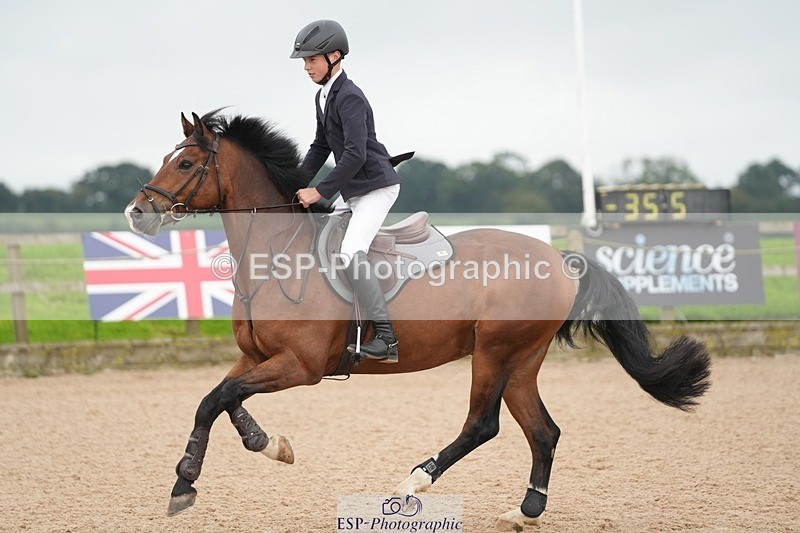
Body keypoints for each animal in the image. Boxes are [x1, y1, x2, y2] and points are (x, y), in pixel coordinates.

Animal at [125, 110, 711, 530]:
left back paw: (414, 484)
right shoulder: (256, 357)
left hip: (494, 351)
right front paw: (256, 450)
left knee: (483, 424)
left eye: (184, 164)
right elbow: (218, 400)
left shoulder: (302, 365)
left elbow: (219, 398)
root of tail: (558, 259)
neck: (276, 254)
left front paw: (189, 481)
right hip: (522, 358)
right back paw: (525, 510)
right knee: (543, 431)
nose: (137, 212)